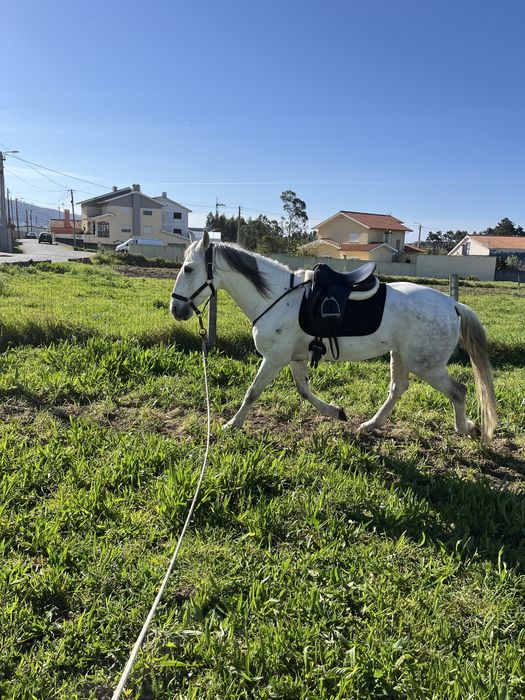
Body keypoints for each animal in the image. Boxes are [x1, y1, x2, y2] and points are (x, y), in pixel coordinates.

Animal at [170, 231, 497, 443]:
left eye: (188, 268)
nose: (176, 308)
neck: (276, 297)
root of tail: (452, 304)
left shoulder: (274, 359)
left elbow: (252, 393)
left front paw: (231, 425)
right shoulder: (294, 358)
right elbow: (304, 391)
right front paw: (336, 412)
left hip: (425, 364)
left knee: (458, 391)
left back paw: (467, 429)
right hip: (401, 356)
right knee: (397, 389)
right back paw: (370, 425)